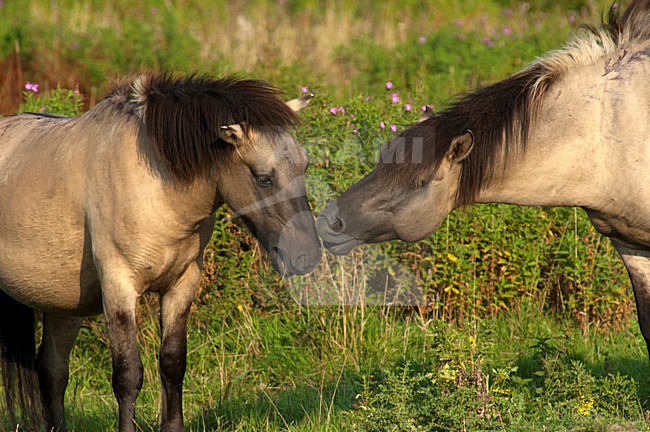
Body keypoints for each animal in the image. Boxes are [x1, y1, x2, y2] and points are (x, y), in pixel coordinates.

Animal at [0, 73, 321, 432]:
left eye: (304, 166)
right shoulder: (119, 288)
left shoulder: (182, 285)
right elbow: (128, 375)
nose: (306, 255)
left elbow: (173, 363)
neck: (154, 184)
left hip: (63, 305)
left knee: (52, 371)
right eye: (263, 178)